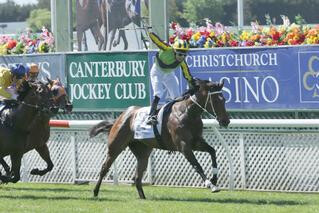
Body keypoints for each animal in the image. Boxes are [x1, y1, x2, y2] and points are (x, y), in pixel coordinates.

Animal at [90, 78, 230, 200]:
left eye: (224, 100)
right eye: (216, 100)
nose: (226, 121)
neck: (188, 113)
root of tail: (122, 116)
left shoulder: (196, 142)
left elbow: (212, 151)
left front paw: (214, 179)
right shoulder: (183, 146)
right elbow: (197, 165)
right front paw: (211, 185)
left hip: (143, 152)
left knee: (138, 176)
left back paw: (143, 198)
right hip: (115, 147)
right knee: (104, 168)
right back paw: (95, 192)